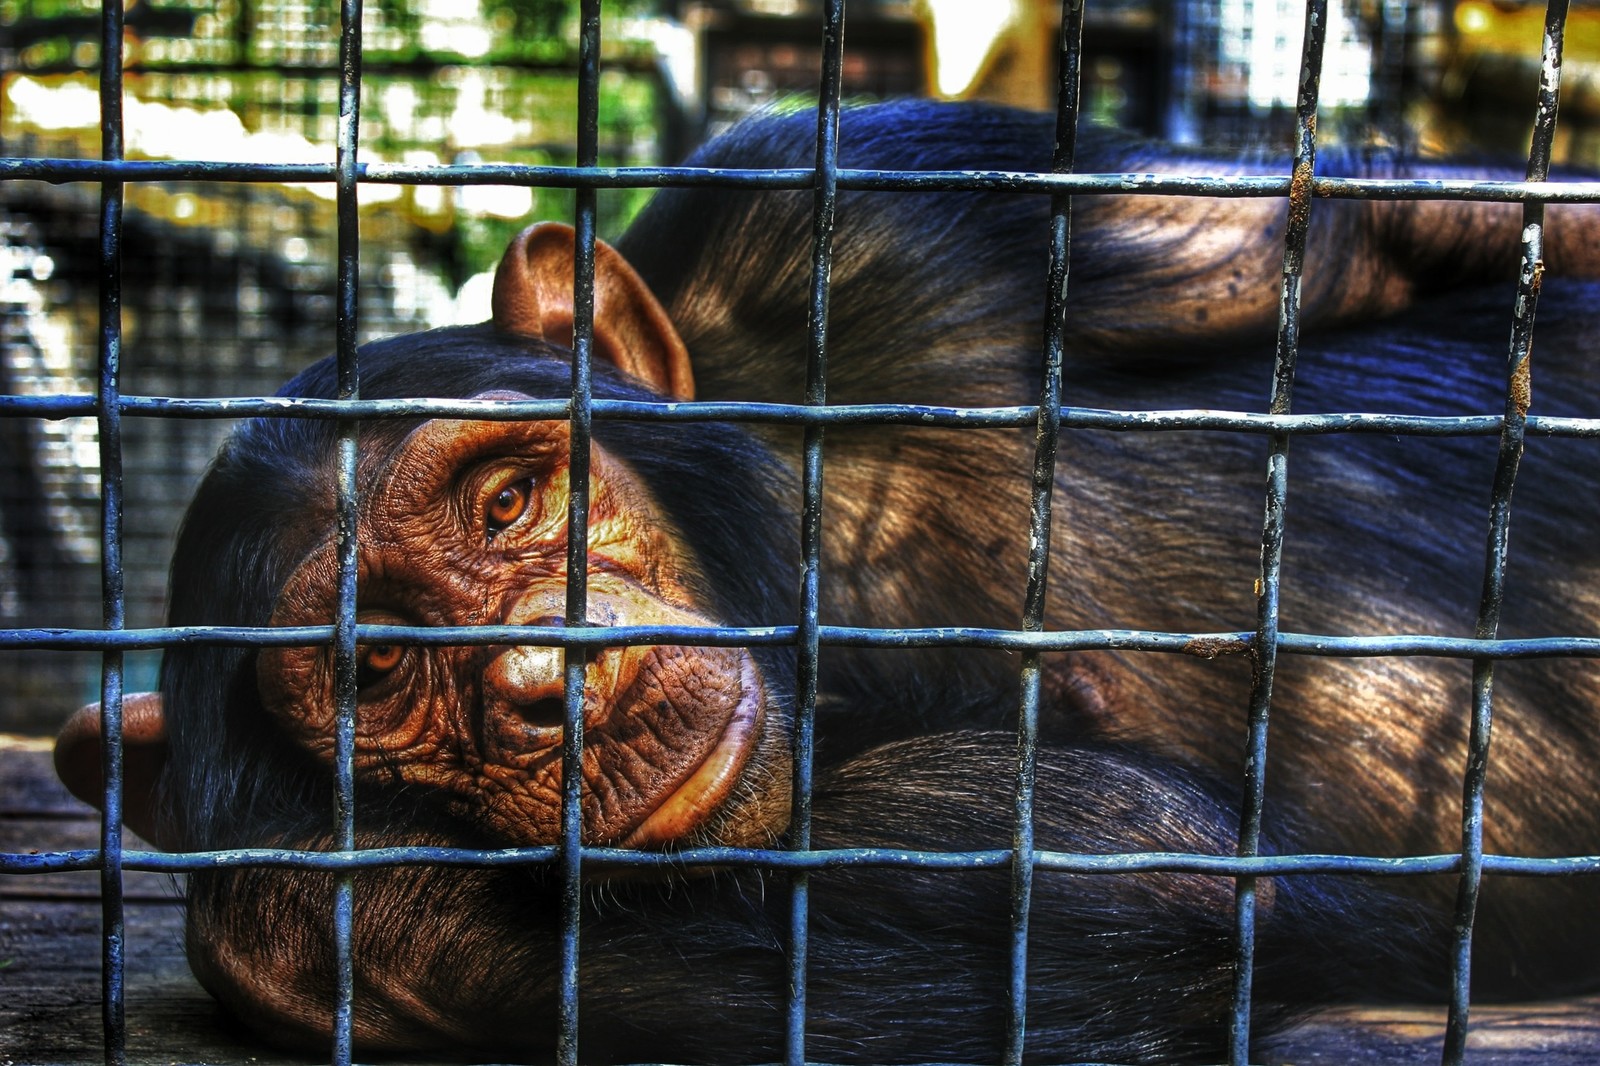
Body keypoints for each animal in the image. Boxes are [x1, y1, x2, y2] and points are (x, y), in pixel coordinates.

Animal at [53, 97, 1600, 1056]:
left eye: (505, 502)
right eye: (376, 666)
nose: (546, 684)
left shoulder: (875, 208)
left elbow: (1385, 236)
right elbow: (1133, 861)